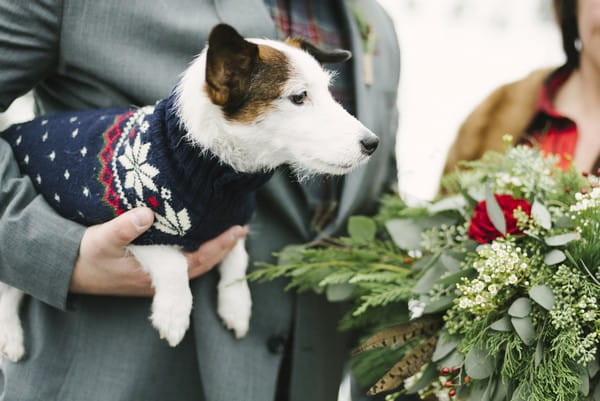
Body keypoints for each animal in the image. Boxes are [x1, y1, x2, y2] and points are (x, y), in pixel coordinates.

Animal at [0, 22, 378, 360]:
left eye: (328, 91)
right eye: (299, 97)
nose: (372, 143)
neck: (204, 161)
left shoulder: (232, 222)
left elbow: (237, 257)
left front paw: (236, 305)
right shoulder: (136, 224)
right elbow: (172, 262)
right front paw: (174, 312)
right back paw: (11, 338)